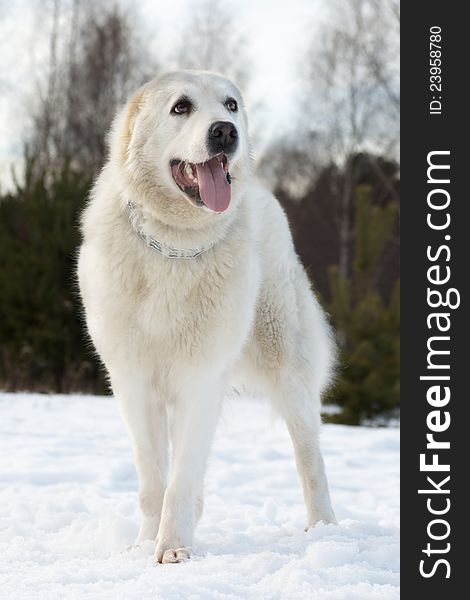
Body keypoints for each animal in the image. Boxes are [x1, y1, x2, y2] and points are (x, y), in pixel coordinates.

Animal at [80, 70, 338, 564]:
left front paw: (173, 550)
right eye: (181, 106)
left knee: (310, 458)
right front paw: (146, 545)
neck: (174, 245)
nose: (225, 131)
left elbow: (180, 481)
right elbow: (153, 481)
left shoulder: (199, 381)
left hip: (288, 372)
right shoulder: (133, 385)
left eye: (230, 104)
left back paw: (325, 531)